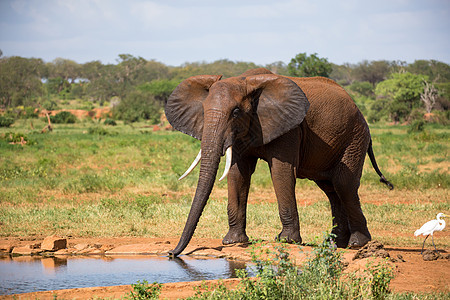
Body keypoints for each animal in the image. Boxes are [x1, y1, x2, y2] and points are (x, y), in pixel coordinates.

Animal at [164, 68, 390, 258]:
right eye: (203, 110)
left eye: (236, 112)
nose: (171, 253)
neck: (245, 81)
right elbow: (238, 173)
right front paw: (232, 241)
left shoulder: (290, 128)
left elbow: (282, 171)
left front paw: (286, 240)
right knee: (331, 189)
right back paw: (335, 243)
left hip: (355, 138)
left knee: (344, 185)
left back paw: (357, 244)